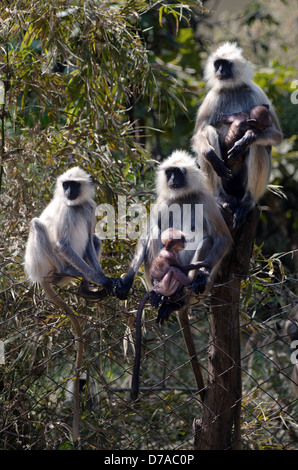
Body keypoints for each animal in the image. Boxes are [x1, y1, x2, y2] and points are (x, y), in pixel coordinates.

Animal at [24, 166, 113, 444]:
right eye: (66, 184)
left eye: (74, 184)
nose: (69, 191)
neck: (76, 204)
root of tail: (39, 275)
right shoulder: (67, 209)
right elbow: (62, 243)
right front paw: (101, 279)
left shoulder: (88, 207)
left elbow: (90, 240)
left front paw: (101, 278)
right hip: (43, 262)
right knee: (38, 225)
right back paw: (71, 272)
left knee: (94, 239)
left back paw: (85, 287)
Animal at [192, 42, 282, 228]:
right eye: (217, 64)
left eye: (225, 64)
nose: (219, 71)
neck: (232, 88)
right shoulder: (213, 96)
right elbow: (198, 136)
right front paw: (210, 154)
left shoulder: (256, 91)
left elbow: (276, 135)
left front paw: (246, 139)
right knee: (209, 132)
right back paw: (221, 197)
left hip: (241, 185)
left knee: (259, 145)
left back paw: (247, 201)